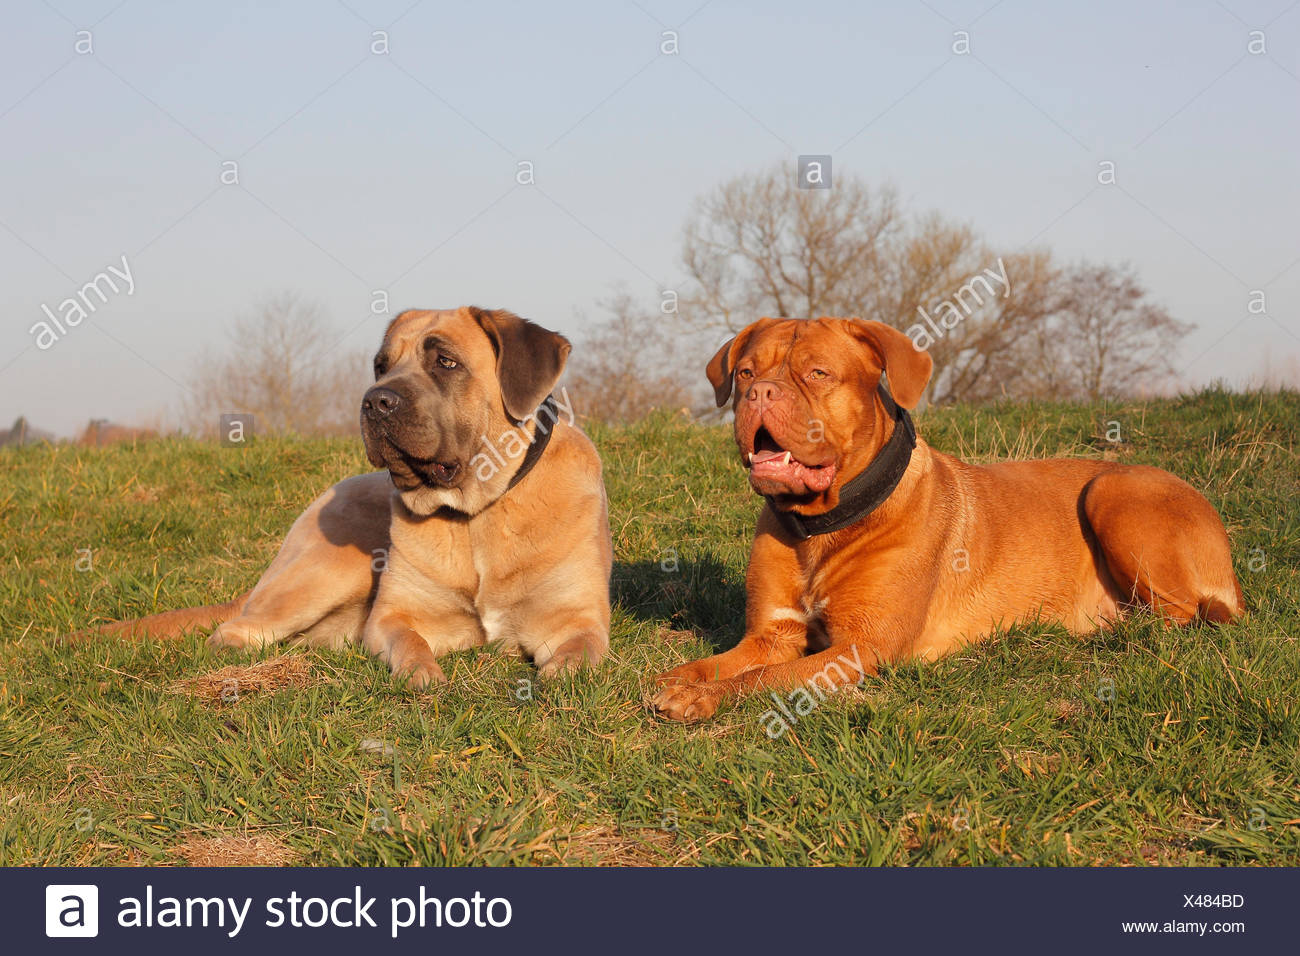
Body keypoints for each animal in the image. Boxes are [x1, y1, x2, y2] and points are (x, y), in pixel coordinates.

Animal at [78, 308, 611, 686]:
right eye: (381, 365)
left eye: (446, 361)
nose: (375, 400)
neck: (477, 513)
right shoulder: (396, 615)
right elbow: (409, 643)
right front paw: (423, 675)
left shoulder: (577, 617)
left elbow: (579, 654)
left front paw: (558, 670)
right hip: (336, 568)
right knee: (236, 631)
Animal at [655, 317, 1242, 723]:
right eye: (746, 372)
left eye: (817, 373)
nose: (758, 392)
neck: (823, 526)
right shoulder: (772, 633)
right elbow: (725, 662)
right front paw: (681, 679)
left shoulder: (860, 647)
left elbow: (763, 678)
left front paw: (702, 697)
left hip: (1112, 493)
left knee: (1178, 616)